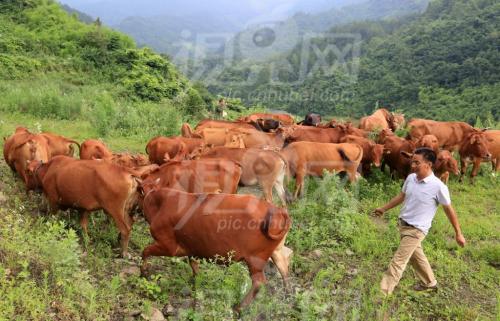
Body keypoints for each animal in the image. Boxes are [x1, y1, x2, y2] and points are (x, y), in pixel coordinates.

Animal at [139, 184, 292, 312]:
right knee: (284, 271)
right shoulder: (191, 249)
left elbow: (145, 251)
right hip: (276, 252)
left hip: (255, 259)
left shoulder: (169, 247)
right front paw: (196, 283)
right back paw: (288, 299)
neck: (161, 203)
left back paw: (239, 308)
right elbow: (194, 267)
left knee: (259, 282)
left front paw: (144, 273)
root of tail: (277, 210)